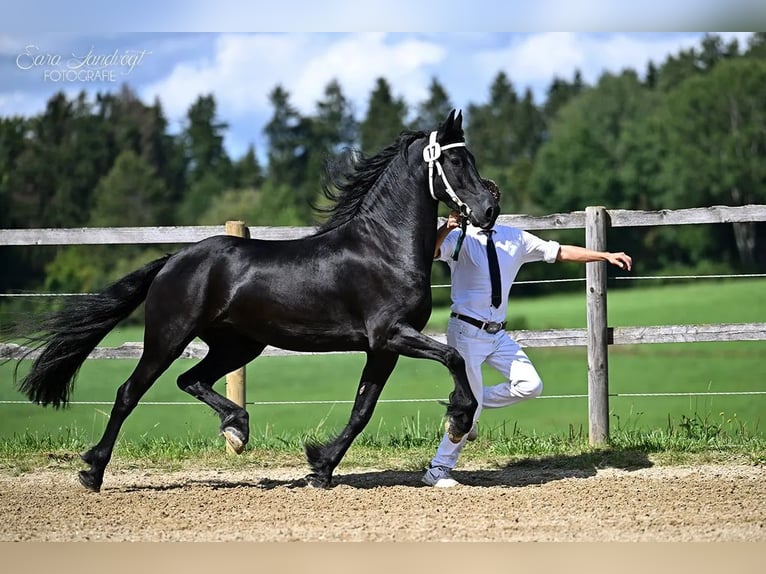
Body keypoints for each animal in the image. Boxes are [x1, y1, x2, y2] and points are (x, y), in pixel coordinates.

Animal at [7, 109, 499, 491]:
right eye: (455, 159)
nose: (488, 210)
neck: (383, 248)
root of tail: (173, 260)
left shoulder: (381, 348)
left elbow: (363, 409)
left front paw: (320, 467)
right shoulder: (392, 335)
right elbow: (453, 357)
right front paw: (459, 418)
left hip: (239, 345)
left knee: (191, 379)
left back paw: (238, 429)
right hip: (168, 336)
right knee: (130, 392)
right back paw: (93, 472)